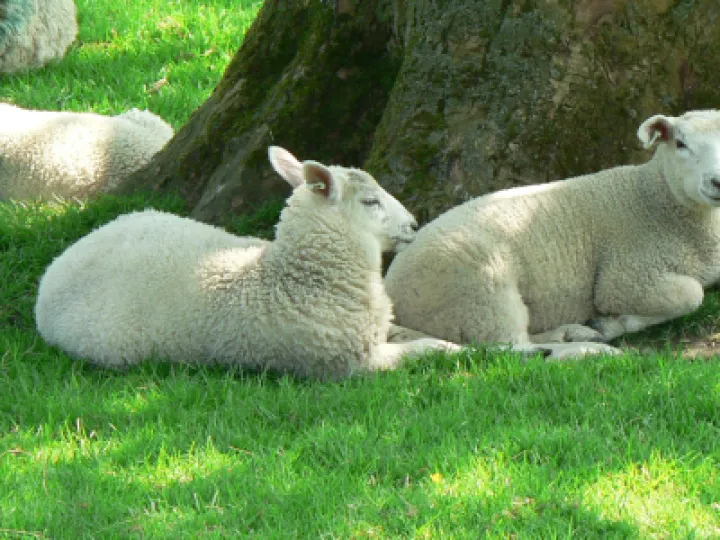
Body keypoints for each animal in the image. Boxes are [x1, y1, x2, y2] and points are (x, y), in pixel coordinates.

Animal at [35, 146, 468, 380]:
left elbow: (414, 332)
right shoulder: (350, 363)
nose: (414, 224)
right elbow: (420, 350)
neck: (294, 278)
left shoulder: (376, 331)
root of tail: (59, 266)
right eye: (370, 201)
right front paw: (460, 351)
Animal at [384, 109, 720, 358]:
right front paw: (616, 322)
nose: (717, 181)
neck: (653, 198)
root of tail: (391, 291)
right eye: (680, 143)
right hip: (480, 292)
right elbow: (692, 295)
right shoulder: (626, 278)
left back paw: (571, 333)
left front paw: (608, 323)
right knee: (507, 348)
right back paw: (586, 348)